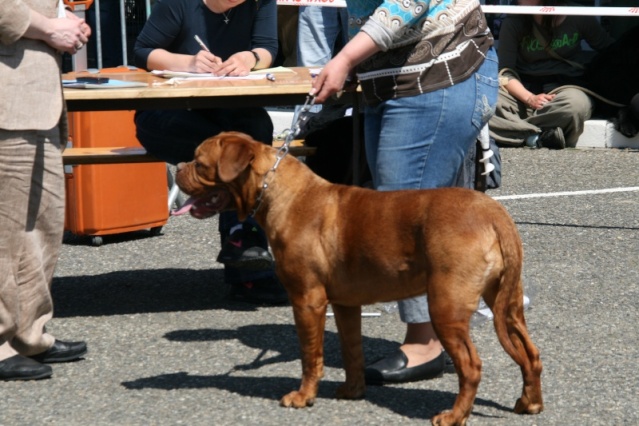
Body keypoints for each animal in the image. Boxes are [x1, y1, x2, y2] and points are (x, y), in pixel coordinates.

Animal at [176, 131, 544, 424]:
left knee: (471, 366)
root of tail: (494, 214)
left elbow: (310, 355)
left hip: (446, 305)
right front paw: (352, 391)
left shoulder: (307, 300)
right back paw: (530, 403)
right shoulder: (344, 303)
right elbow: (351, 350)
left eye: (199, 162)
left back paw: (454, 416)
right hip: (507, 302)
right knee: (530, 353)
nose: (177, 167)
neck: (277, 190)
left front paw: (303, 396)